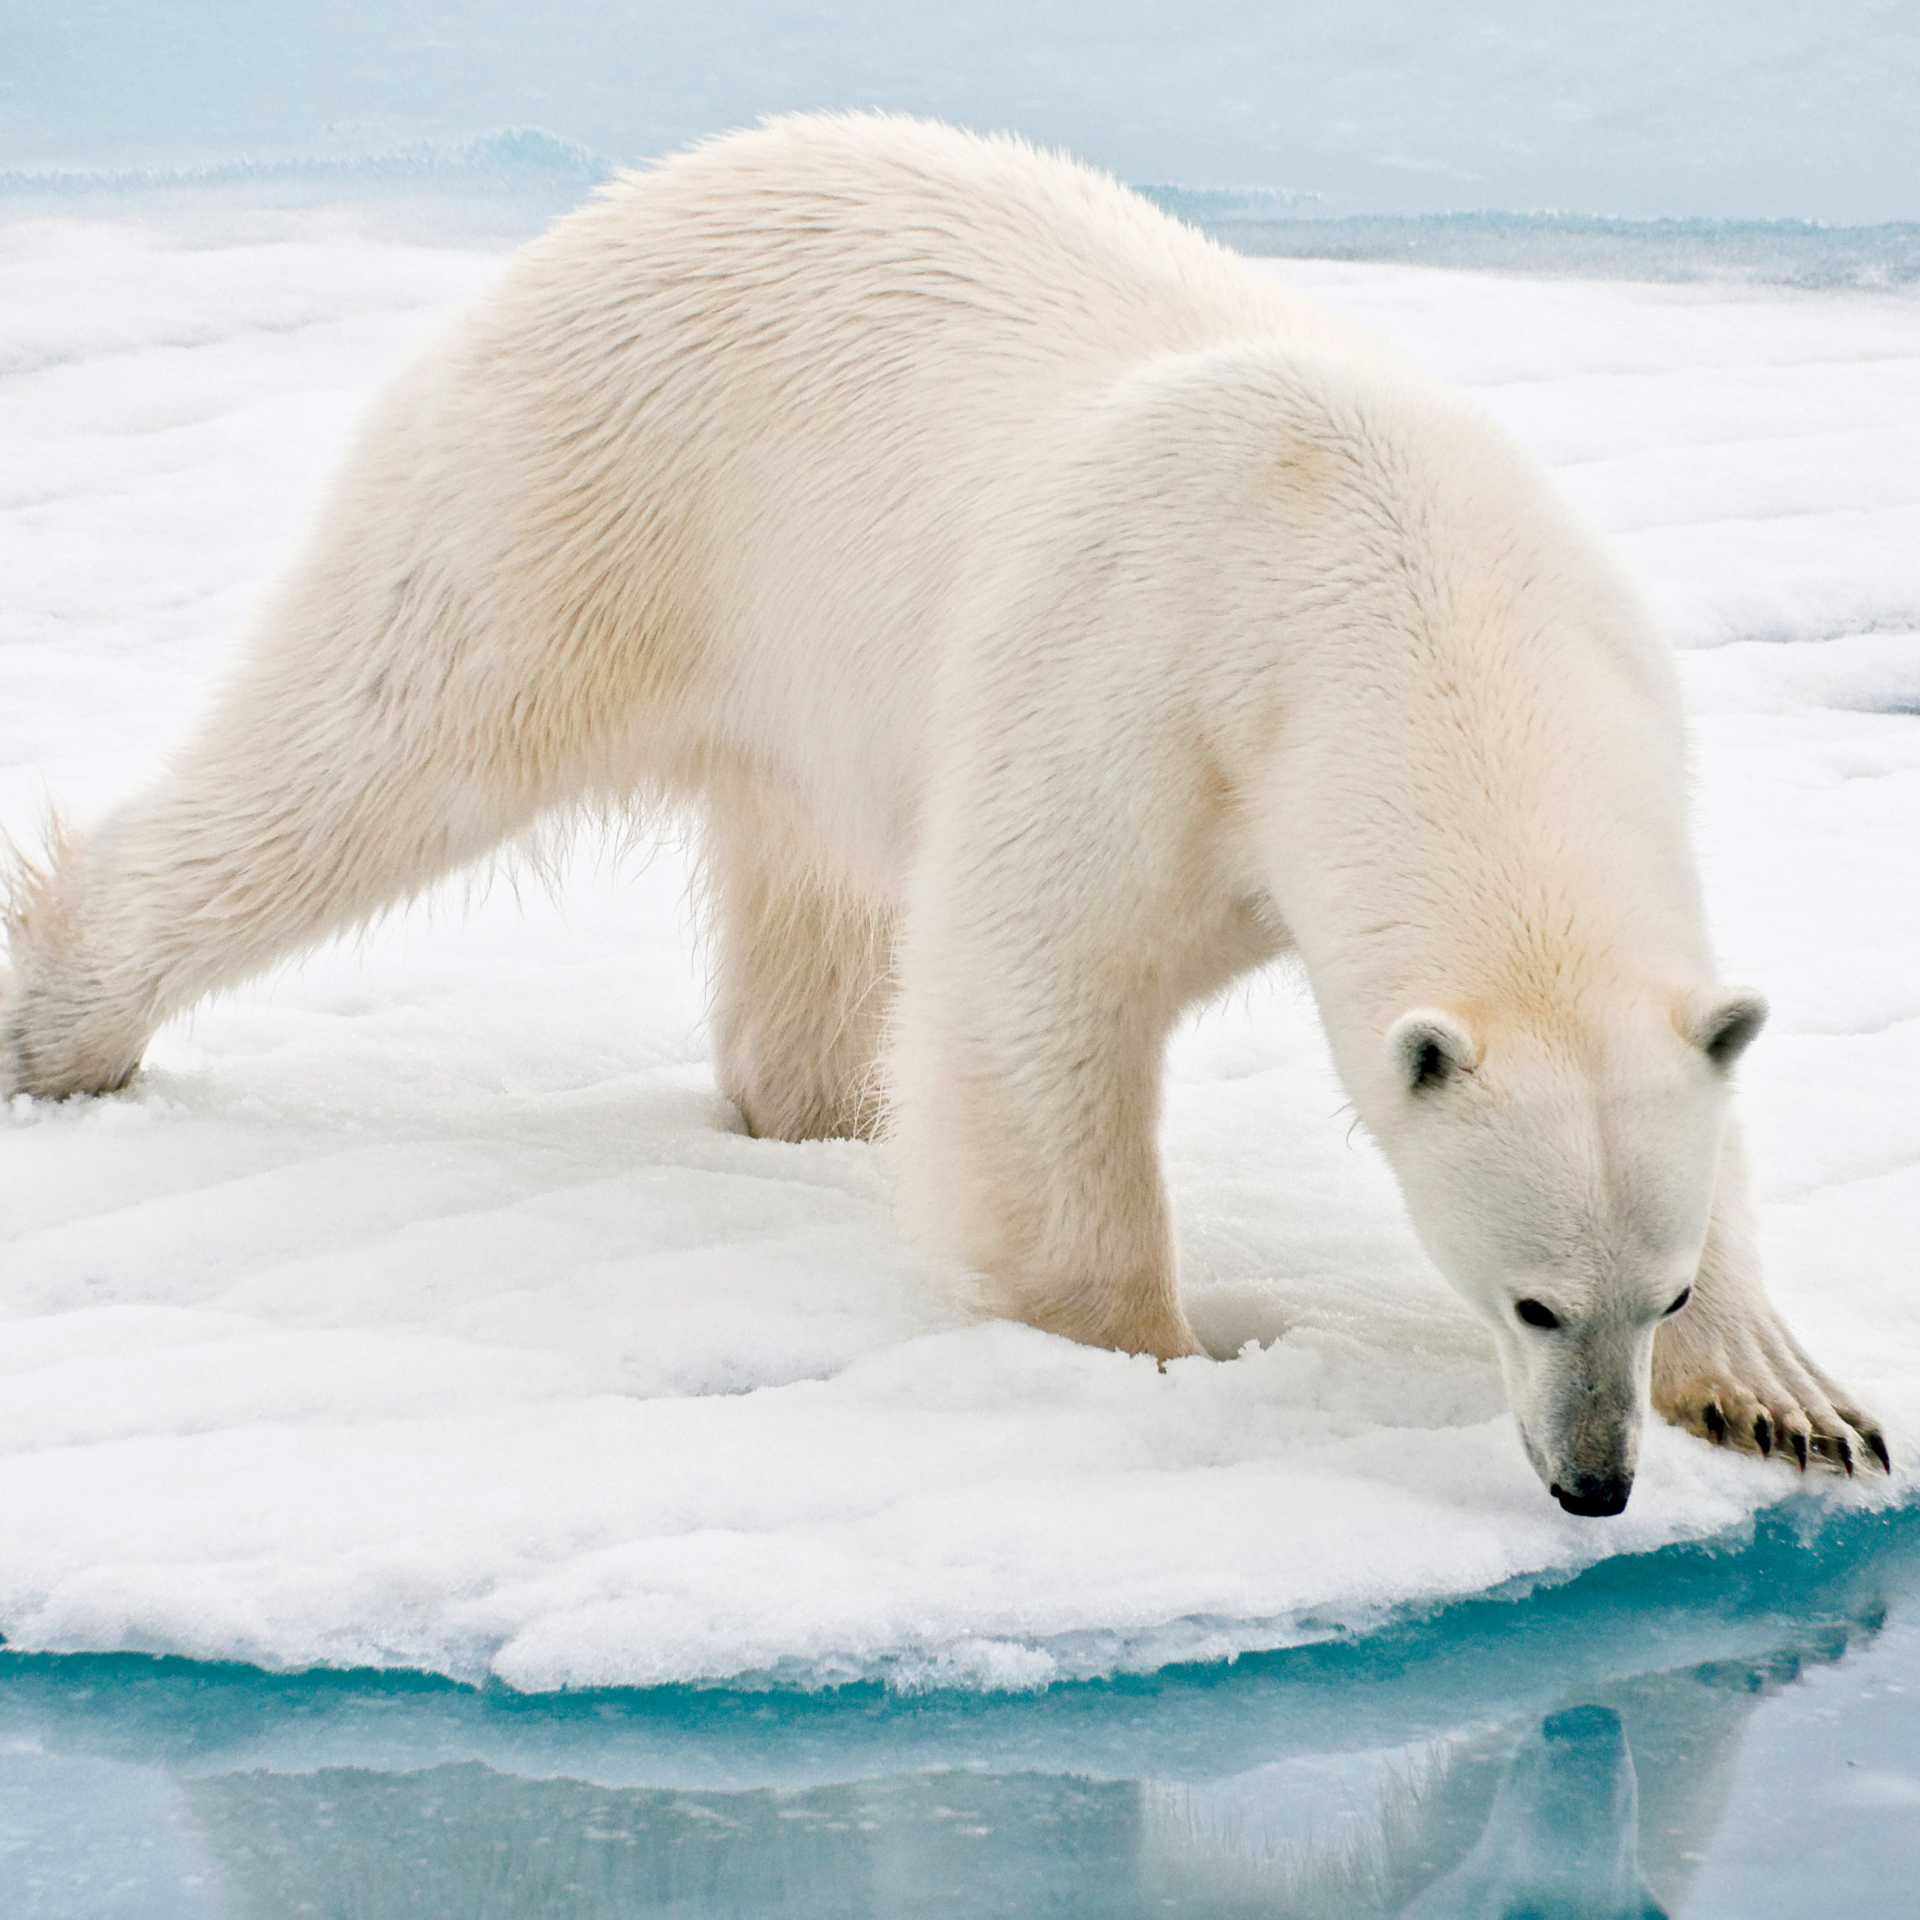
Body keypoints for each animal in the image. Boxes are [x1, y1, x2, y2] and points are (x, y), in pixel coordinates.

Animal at [0, 113, 1886, 1514]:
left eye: (1662, 1291)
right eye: (1528, 1299)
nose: (1595, 1484)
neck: (1403, 590)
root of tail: (632, 192)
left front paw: (1795, 1401)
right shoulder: (1143, 687)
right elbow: (1036, 997)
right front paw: (1152, 1359)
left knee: (813, 906)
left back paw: (824, 1106)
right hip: (583, 490)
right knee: (364, 753)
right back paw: (62, 1020)